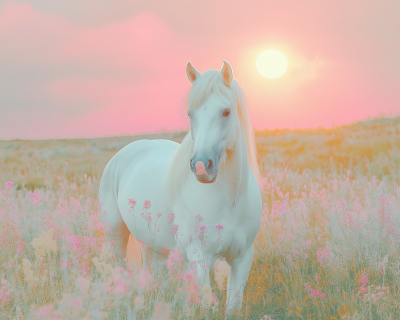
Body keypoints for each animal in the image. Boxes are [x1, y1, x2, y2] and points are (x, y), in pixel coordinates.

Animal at [99, 61, 262, 318]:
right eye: (190, 114)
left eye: (226, 112)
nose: (201, 166)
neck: (230, 201)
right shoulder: (199, 256)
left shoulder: (242, 257)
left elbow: (232, 307)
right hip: (115, 236)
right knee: (120, 271)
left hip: (153, 245)